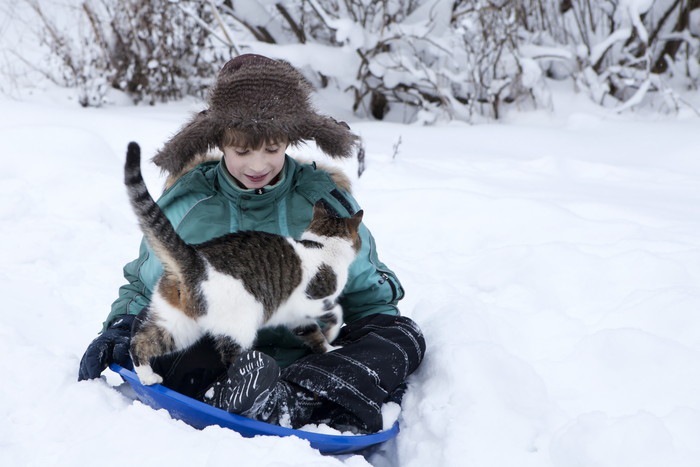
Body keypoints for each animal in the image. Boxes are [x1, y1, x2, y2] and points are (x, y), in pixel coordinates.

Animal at [125, 143, 364, 388]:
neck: (322, 243)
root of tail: (194, 259)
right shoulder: (311, 302)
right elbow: (336, 312)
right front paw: (333, 334)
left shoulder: (297, 318)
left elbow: (314, 335)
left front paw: (328, 349)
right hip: (240, 325)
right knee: (235, 362)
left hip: (179, 325)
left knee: (139, 342)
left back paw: (147, 377)